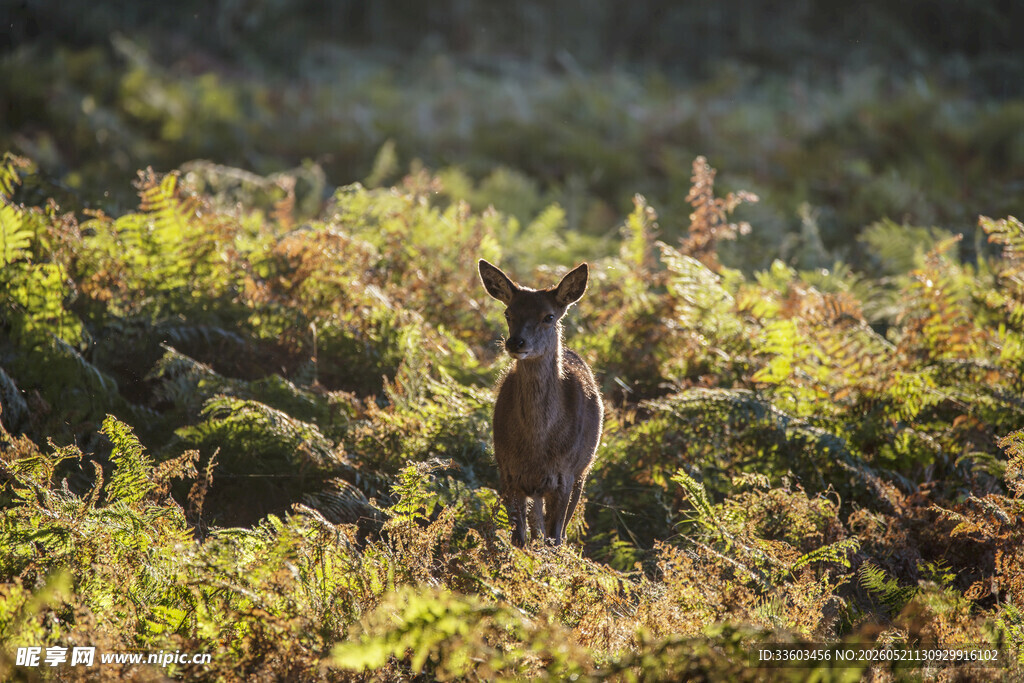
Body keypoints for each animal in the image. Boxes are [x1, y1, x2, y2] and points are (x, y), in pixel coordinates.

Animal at [478, 259, 603, 547]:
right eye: (508, 313)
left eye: (549, 316)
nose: (516, 342)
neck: (537, 443)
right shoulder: (508, 474)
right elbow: (520, 539)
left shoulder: (564, 475)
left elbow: (554, 537)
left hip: (583, 469)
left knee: (560, 532)